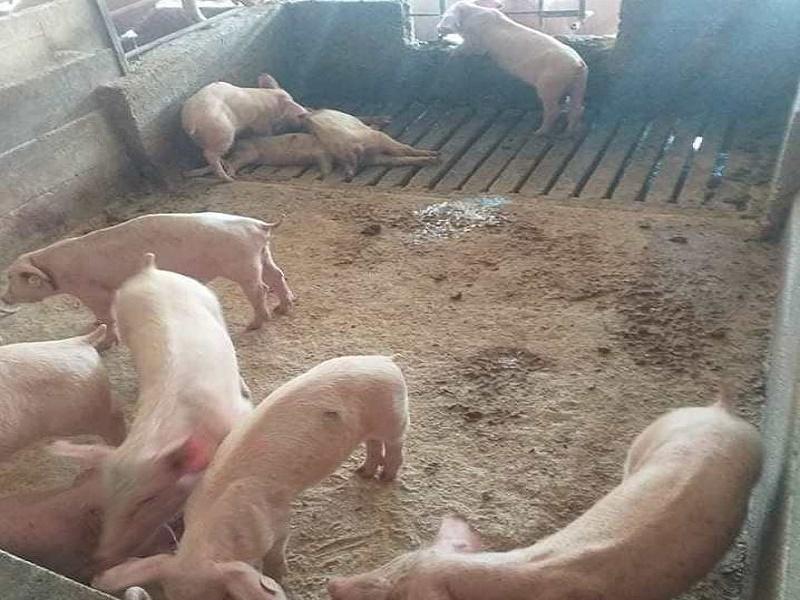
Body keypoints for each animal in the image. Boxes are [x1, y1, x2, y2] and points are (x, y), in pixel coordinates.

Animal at [1, 211, 294, 345]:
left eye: (13, 278)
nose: (4, 297)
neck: (58, 271)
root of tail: (258, 225)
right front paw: (94, 324)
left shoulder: (94, 291)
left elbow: (107, 315)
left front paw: (106, 344)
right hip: (263, 255)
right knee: (277, 276)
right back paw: (284, 307)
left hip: (243, 265)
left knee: (260, 289)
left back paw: (254, 325)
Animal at [50, 253, 254, 569]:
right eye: (107, 499)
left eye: (148, 499)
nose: (102, 556)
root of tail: (151, 272)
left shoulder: (237, 417)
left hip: (209, 300)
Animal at [91, 355, 410, 600]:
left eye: (219, 597)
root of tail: (385, 361)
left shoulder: (275, 519)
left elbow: (277, 550)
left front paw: (278, 578)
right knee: (373, 443)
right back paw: (363, 472)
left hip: (394, 417)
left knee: (394, 445)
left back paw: (385, 478)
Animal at [437, 0, 588, 136]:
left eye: (446, 14)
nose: (439, 29)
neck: (472, 14)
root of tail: (577, 64)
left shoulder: (475, 42)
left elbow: (468, 48)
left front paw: (451, 50)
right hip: (579, 83)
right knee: (577, 108)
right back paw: (570, 132)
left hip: (550, 85)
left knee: (554, 110)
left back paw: (539, 132)